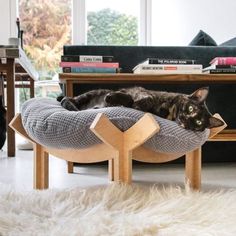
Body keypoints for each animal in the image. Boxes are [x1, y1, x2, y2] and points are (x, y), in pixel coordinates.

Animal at [56, 86, 223, 132]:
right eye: (190, 108)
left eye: (199, 122)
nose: (186, 120)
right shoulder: (140, 91)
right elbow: (138, 98)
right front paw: (114, 99)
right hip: (91, 93)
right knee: (66, 99)